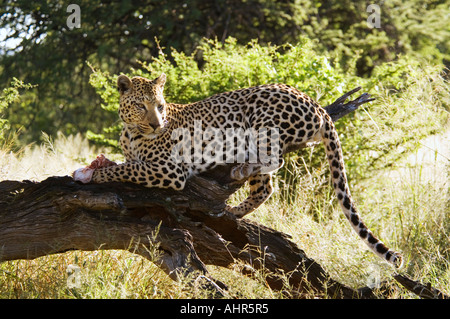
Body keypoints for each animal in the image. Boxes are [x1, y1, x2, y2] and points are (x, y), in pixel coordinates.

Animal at [74, 74, 404, 268]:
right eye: (142, 106)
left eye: (160, 105)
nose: (157, 124)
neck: (132, 132)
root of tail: (315, 103)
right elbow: (123, 163)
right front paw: (96, 165)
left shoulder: (170, 170)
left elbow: (126, 169)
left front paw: (91, 175)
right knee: (266, 187)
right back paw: (233, 210)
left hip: (262, 120)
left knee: (274, 160)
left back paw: (238, 169)